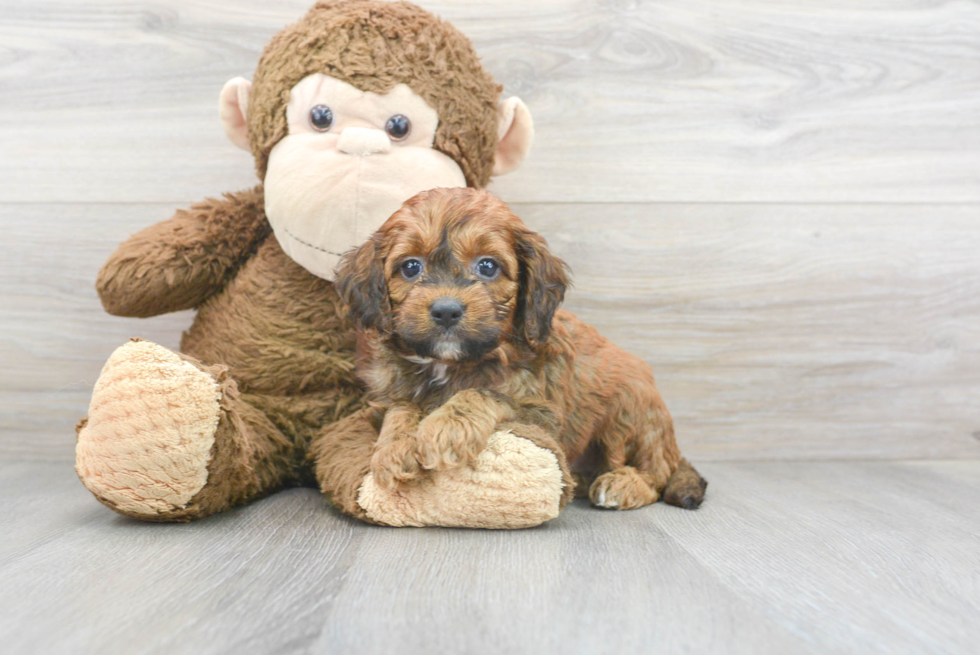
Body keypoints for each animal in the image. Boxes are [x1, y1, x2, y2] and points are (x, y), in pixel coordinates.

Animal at [334, 187, 704, 510]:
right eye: (410, 266)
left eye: (487, 266)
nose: (446, 310)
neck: (451, 363)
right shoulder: (385, 397)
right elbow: (401, 407)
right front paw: (395, 448)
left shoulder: (543, 415)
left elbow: (484, 393)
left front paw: (446, 427)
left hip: (629, 409)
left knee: (657, 475)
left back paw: (622, 484)